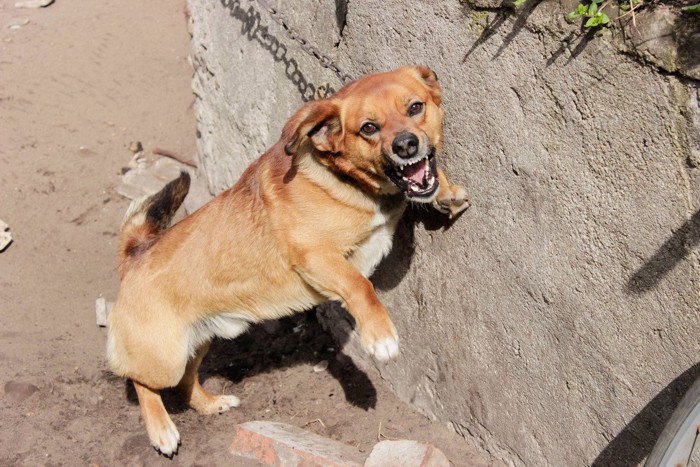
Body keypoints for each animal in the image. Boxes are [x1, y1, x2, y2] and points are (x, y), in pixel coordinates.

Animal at [106, 64, 470, 456]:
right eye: (369, 128)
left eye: (415, 107)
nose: (406, 144)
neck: (347, 182)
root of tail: (135, 255)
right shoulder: (317, 256)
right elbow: (360, 285)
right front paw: (380, 336)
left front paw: (446, 192)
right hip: (165, 358)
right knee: (142, 382)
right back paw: (162, 431)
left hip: (199, 341)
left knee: (187, 381)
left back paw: (211, 404)